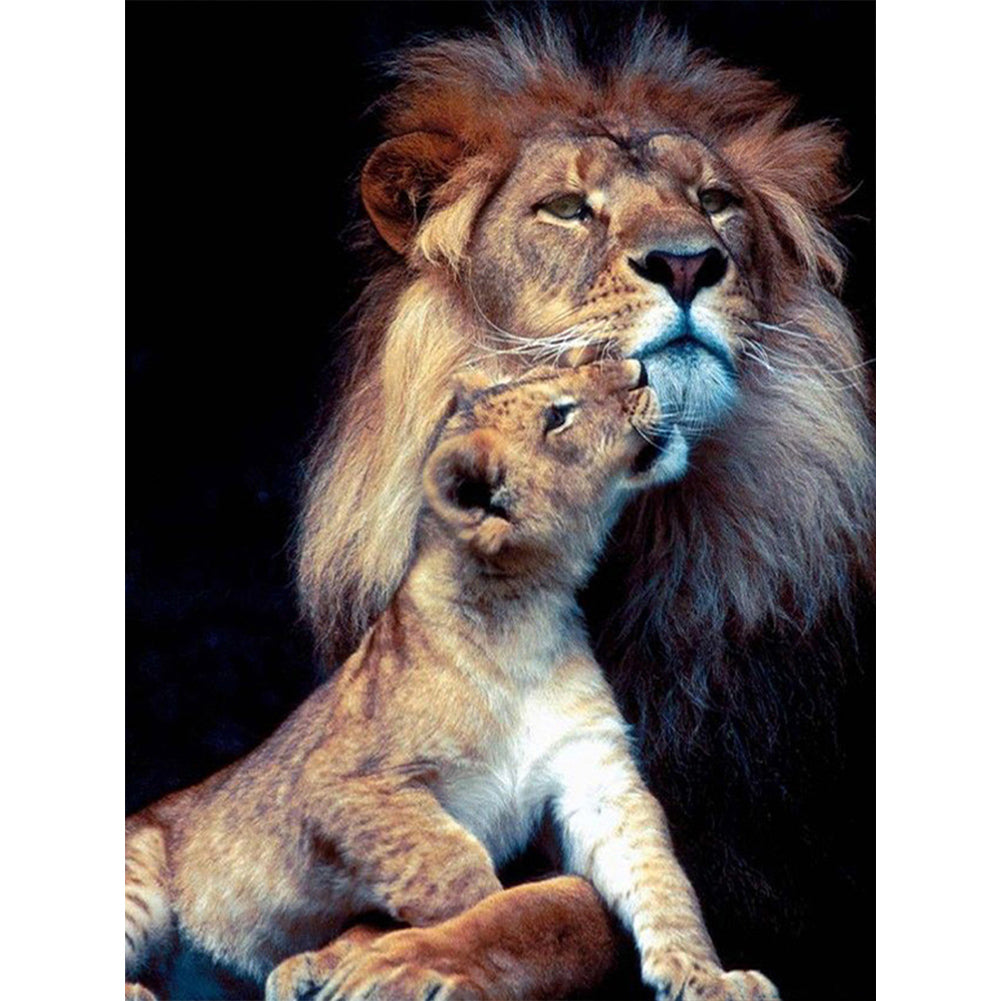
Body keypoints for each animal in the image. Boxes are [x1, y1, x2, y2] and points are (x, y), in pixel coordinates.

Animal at [284, 13, 873, 1001]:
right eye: (565, 208)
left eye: (715, 200)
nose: (687, 260)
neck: (617, 523)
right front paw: (336, 946)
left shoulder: (754, 864)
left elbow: (568, 904)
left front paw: (401, 960)